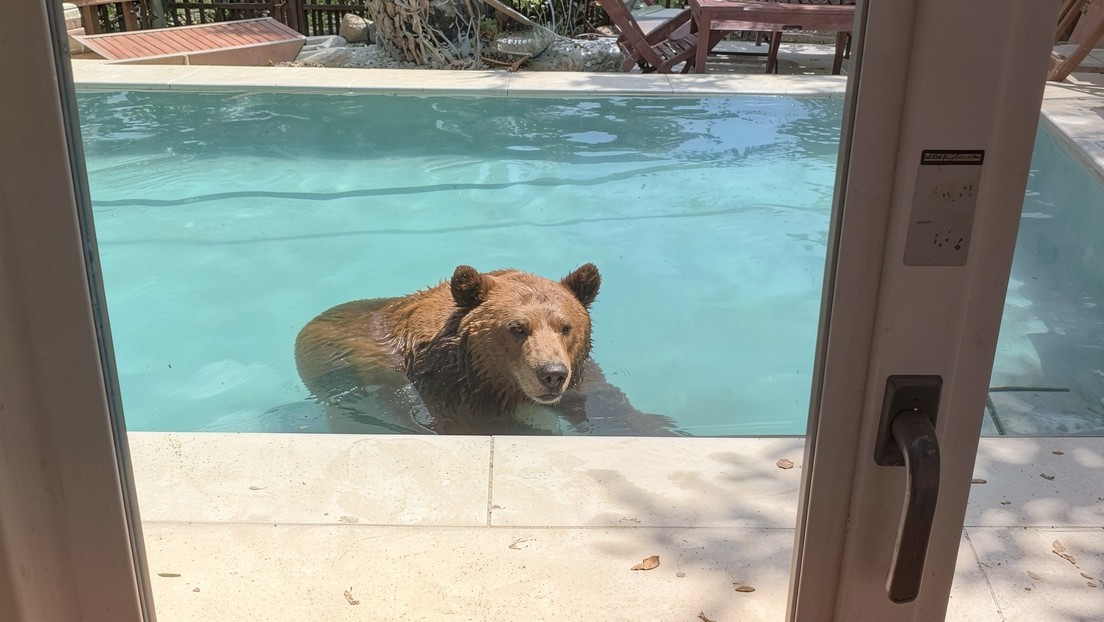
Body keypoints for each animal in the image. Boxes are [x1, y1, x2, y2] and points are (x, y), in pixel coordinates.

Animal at [294, 264, 680, 435]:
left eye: (566, 327)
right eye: (517, 328)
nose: (552, 375)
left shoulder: (580, 379)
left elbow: (609, 404)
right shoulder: (449, 394)